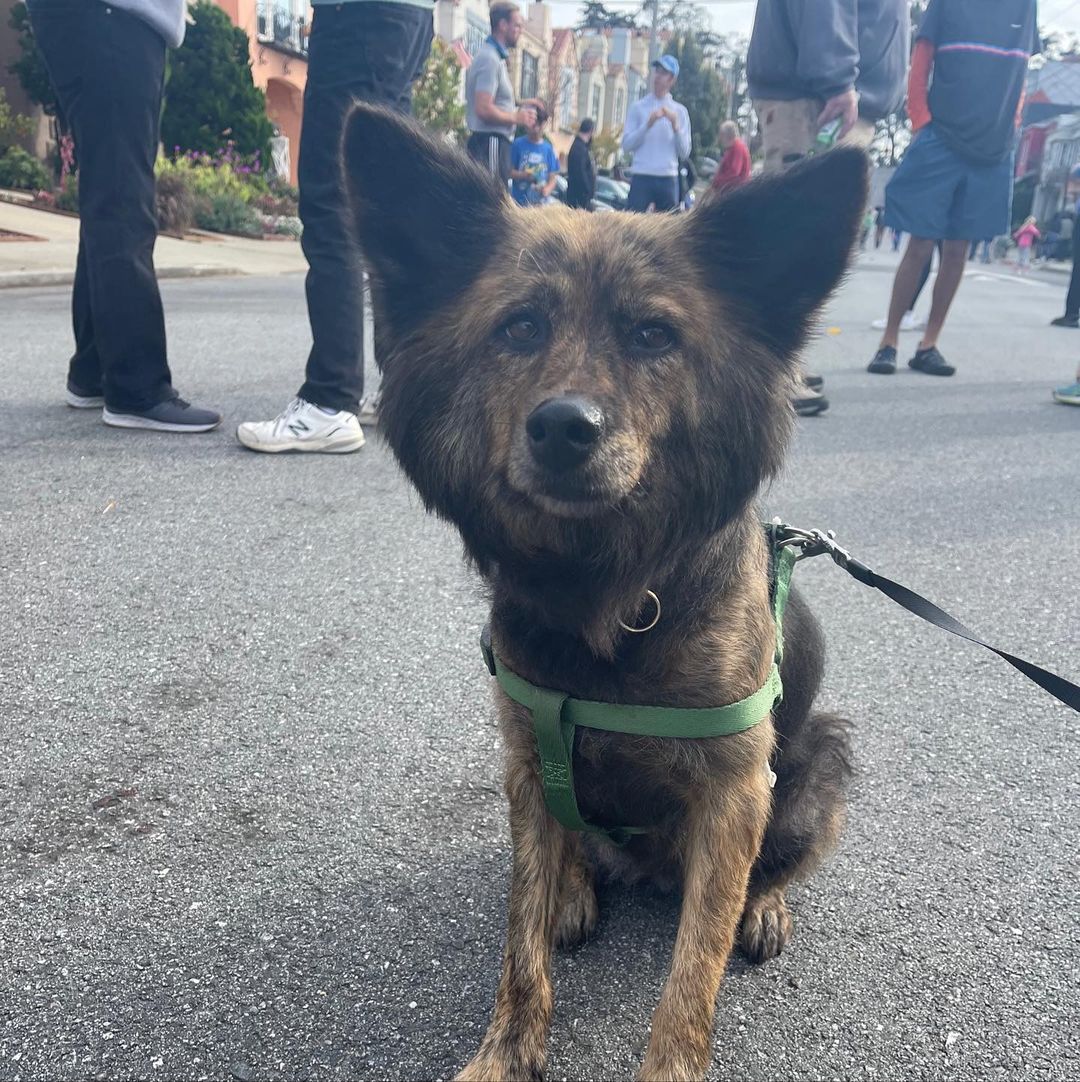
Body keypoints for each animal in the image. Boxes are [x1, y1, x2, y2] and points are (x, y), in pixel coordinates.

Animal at [346, 107, 870, 1082]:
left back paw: (762, 904)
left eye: (653, 336)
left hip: (819, 757)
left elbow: (690, 978)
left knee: (768, 867)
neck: (608, 595)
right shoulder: (525, 755)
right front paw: (507, 1051)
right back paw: (576, 888)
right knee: (566, 852)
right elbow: (519, 943)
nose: (563, 428)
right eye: (518, 327)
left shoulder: (735, 793)